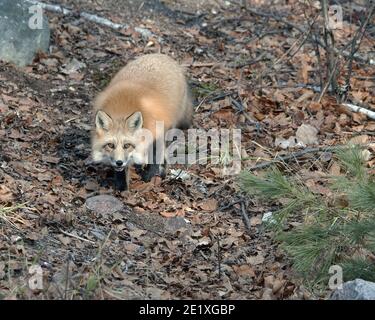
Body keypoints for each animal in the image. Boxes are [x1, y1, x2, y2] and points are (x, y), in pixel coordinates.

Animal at [90, 54, 191, 191]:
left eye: (127, 145)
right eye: (110, 145)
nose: (119, 162)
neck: (122, 109)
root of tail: (162, 55)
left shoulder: (158, 131)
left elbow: (155, 157)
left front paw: (149, 177)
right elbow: (122, 172)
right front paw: (122, 187)